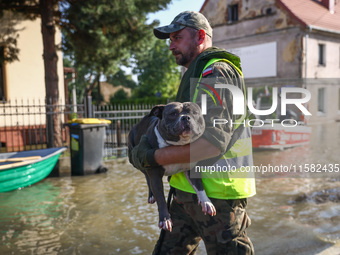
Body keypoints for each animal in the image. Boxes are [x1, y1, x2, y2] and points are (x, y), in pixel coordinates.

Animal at [127, 101, 215, 231]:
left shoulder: (192, 169)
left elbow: (199, 186)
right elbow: (161, 198)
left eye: (194, 112)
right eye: (173, 114)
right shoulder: (155, 175)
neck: (177, 146)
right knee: (147, 179)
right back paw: (151, 195)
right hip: (137, 159)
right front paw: (165, 219)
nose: (185, 117)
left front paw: (206, 202)